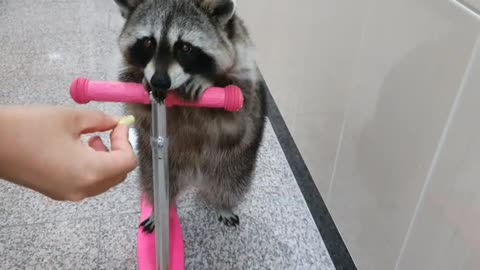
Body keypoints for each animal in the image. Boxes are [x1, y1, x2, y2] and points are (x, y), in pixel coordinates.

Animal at [115, 0, 268, 232]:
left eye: (185, 47)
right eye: (148, 42)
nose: (159, 81)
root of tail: (195, 175)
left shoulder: (245, 74)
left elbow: (236, 115)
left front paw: (207, 82)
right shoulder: (129, 77)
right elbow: (139, 110)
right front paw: (144, 82)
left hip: (236, 162)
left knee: (230, 185)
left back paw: (223, 204)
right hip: (155, 164)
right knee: (153, 185)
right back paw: (159, 210)